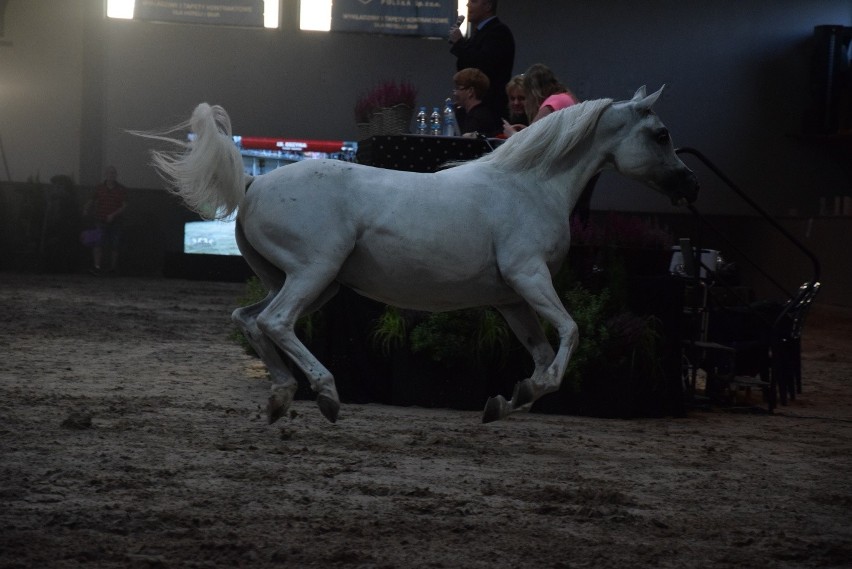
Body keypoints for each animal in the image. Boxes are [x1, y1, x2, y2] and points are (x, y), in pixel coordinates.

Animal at [141, 86, 700, 424]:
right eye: (661, 134)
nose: (688, 184)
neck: (529, 186)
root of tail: (255, 183)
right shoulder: (530, 278)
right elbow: (570, 334)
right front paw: (522, 394)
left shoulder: (511, 298)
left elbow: (541, 354)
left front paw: (507, 400)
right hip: (313, 274)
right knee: (275, 322)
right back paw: (325, 394)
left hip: (307, 282)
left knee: (251, 320)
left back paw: (281, 396)